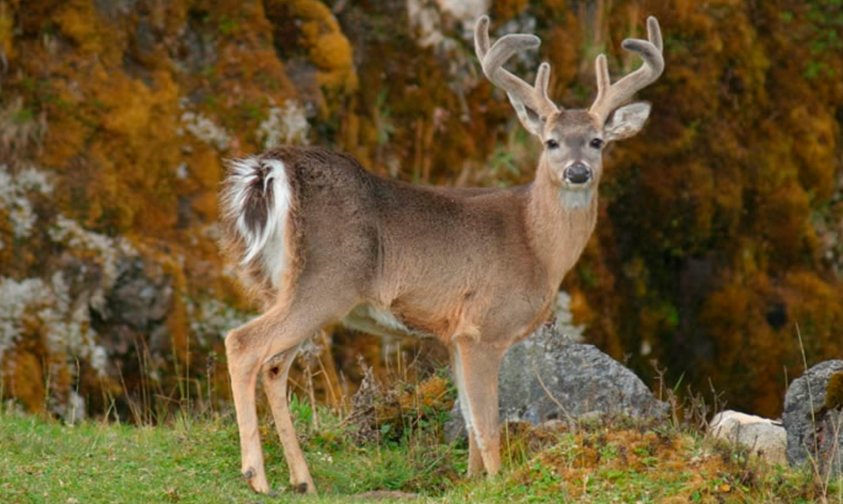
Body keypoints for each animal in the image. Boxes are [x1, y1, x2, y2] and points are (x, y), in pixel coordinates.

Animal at [219, 13, 664, 494]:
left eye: (598, 141)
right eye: (551, 141)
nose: (577, 172)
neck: (538, 247)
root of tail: (275, 168)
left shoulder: (453, 334)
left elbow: (468, 420)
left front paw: (470, 481)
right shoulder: (483, 327)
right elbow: (487, 423)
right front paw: (498, 484)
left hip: (282, 285)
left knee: (274, 366)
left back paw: (303, 480)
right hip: (325, 281)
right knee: (243, 343)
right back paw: (256, 477)